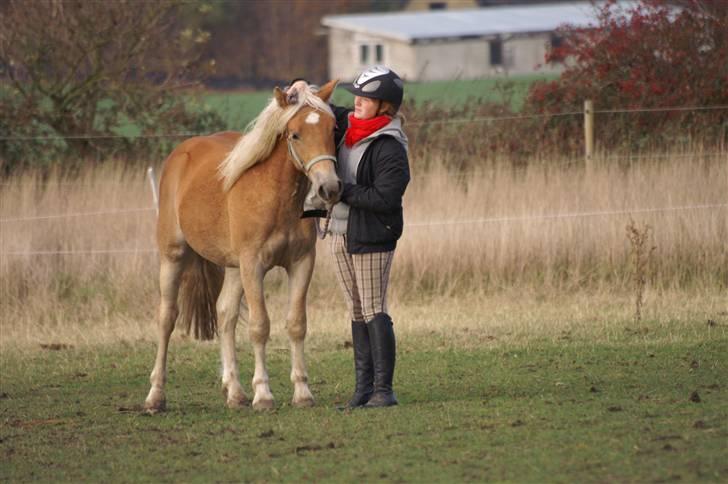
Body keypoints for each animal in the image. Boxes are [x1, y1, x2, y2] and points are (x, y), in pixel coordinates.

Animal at [145, 79, 344, 412]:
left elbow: (296, 324)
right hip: (173, 256)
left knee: (224, 315)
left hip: (234, 267)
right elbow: (259, 326)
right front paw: (263, 394)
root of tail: (182, 152)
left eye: (333, 129)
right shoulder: (254, 265)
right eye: (295, 134)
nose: (328, 188)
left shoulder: (301, 263)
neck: (276, 198)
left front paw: (302, 392)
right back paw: (155, 396)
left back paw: (235, 393)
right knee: (166, 318)